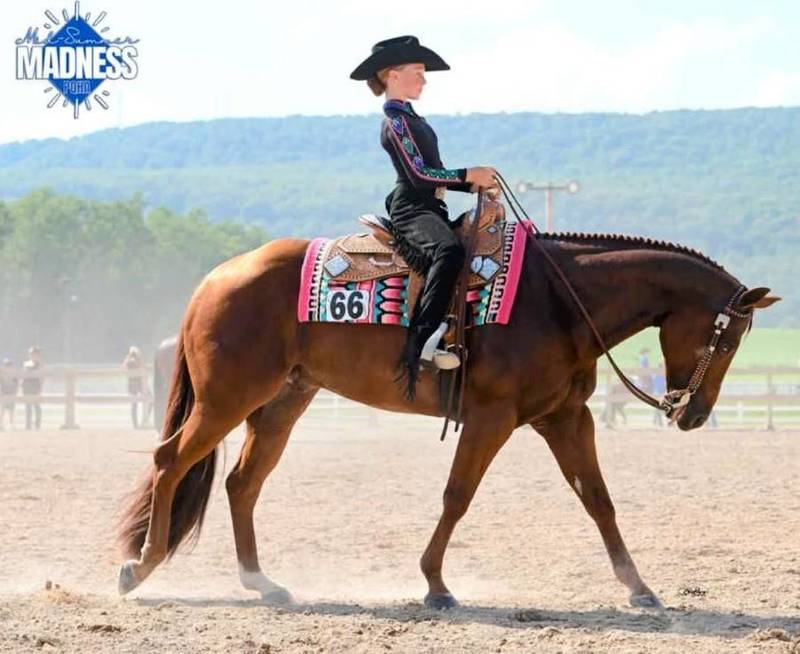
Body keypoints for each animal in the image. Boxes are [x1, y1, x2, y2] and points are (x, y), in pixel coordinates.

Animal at [116, 208, 779, 609]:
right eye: (727, 341)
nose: (692, 414)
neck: (560, 298)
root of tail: (215, 279)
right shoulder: (491, 417)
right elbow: (457, 496)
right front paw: (435, 584)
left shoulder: (565, 417)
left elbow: (598, 498)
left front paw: (638, 586)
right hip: (228, 398)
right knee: (171, 460)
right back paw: (141, 566)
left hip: (283, 401)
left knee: (241, 482)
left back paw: (261, 582)